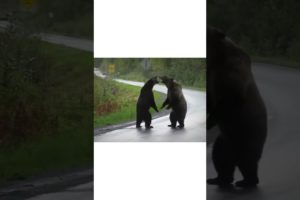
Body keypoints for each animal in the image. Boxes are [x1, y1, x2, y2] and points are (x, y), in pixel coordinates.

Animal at [206, 26, 268, 188]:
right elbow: (211, 99)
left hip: (248, 135)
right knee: (220, 157)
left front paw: (209, 121)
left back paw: (247, 181)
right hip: (225, 140)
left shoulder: (232, 73)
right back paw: (218, 179)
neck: (218, 57)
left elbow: (230, 99)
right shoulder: (213, 74)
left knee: (247, 160)